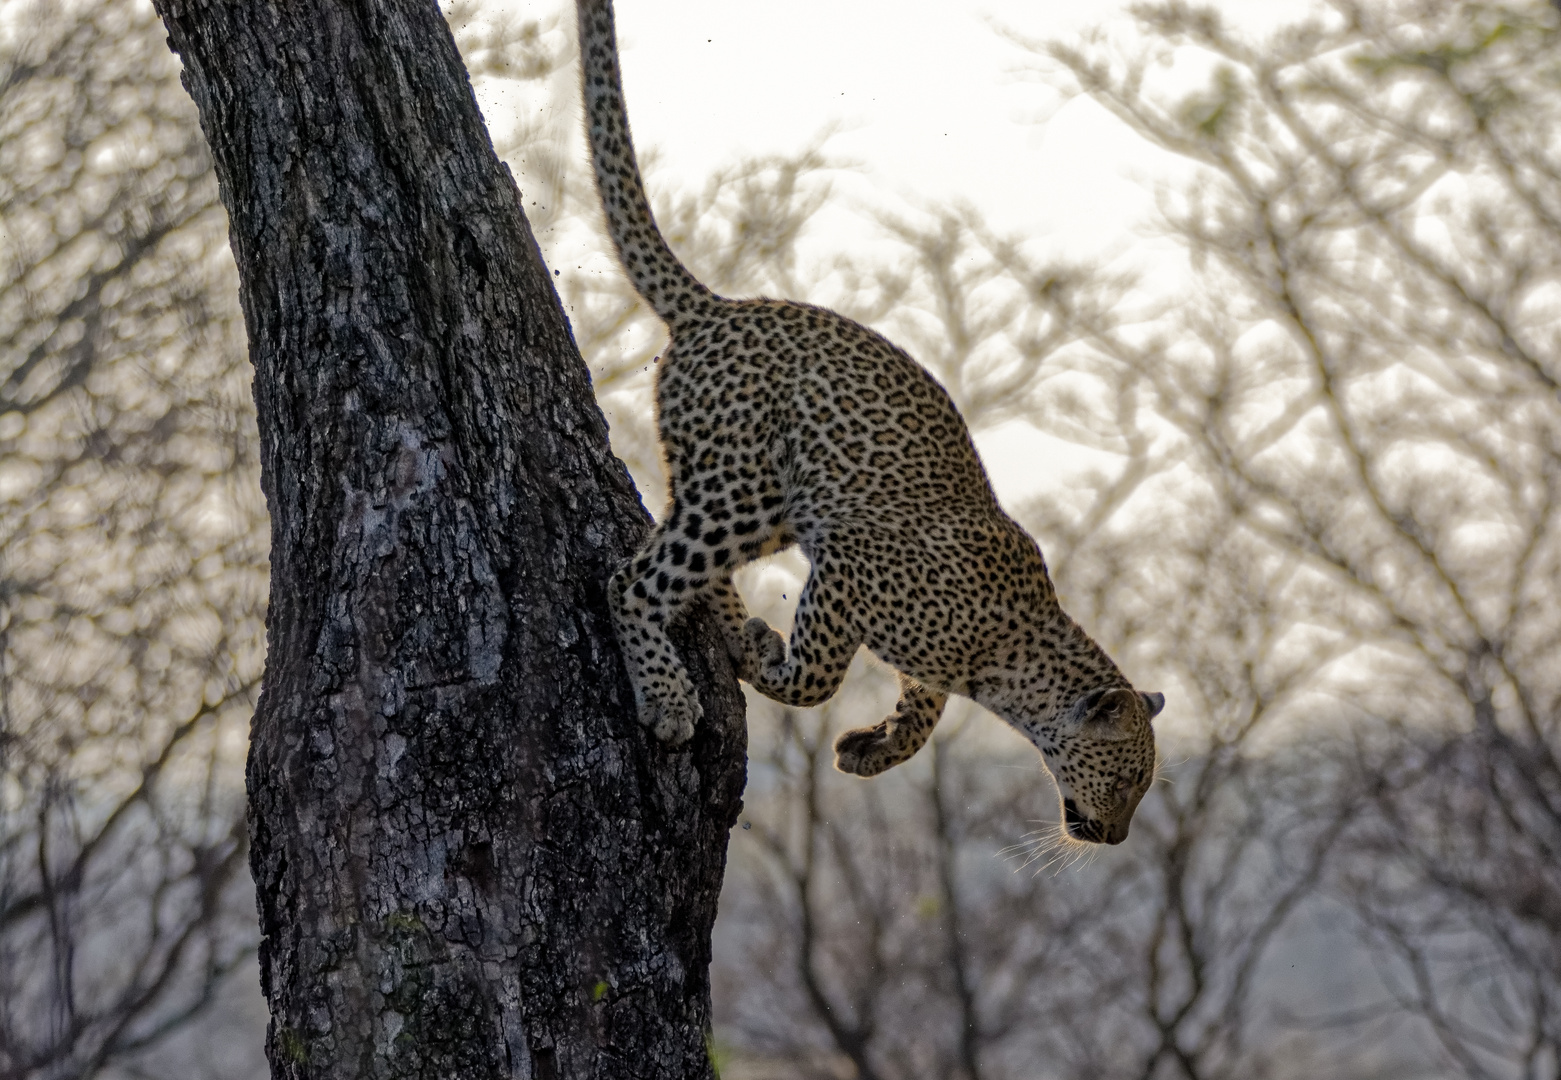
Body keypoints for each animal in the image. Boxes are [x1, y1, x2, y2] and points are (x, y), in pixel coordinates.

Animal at [580, 0, 1167, 842]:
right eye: (1125, 779)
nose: (1115, 836)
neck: (1007, 661)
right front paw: (760, 654)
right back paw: (668, 695)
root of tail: (717, 306)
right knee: (633, 579)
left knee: (677, 559)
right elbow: (817, 678)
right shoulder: (850, 566)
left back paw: (720, 616)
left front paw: (875, 747)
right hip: (740, 491)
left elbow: (923, 706)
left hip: (768, 504)